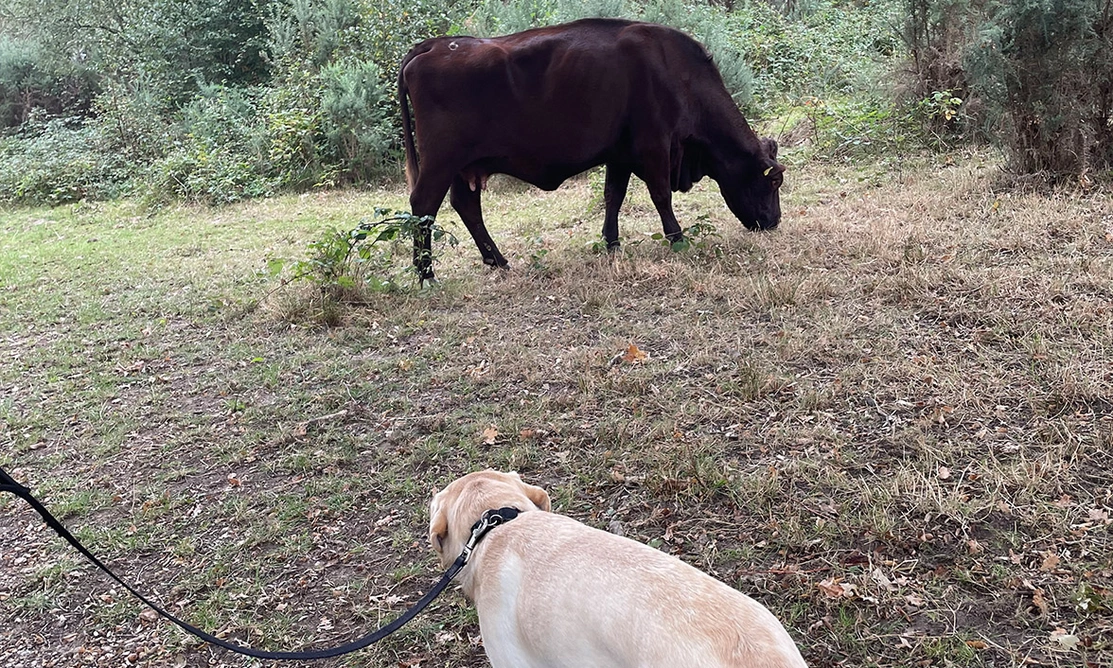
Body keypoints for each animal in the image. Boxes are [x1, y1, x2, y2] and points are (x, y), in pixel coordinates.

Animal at [397, 18, 785, 281]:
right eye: (773, 182)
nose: (774, 221)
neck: (675, 71)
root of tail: (434, 45)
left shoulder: (620, 155)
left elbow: (613, 196)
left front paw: (612, 243)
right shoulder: (654, 147)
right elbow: (661, 195)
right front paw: (677, 237)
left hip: (465, 167)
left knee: (466, 207)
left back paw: (498, 260)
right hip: (440, 163)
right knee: (424, 207)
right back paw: (427, 274)